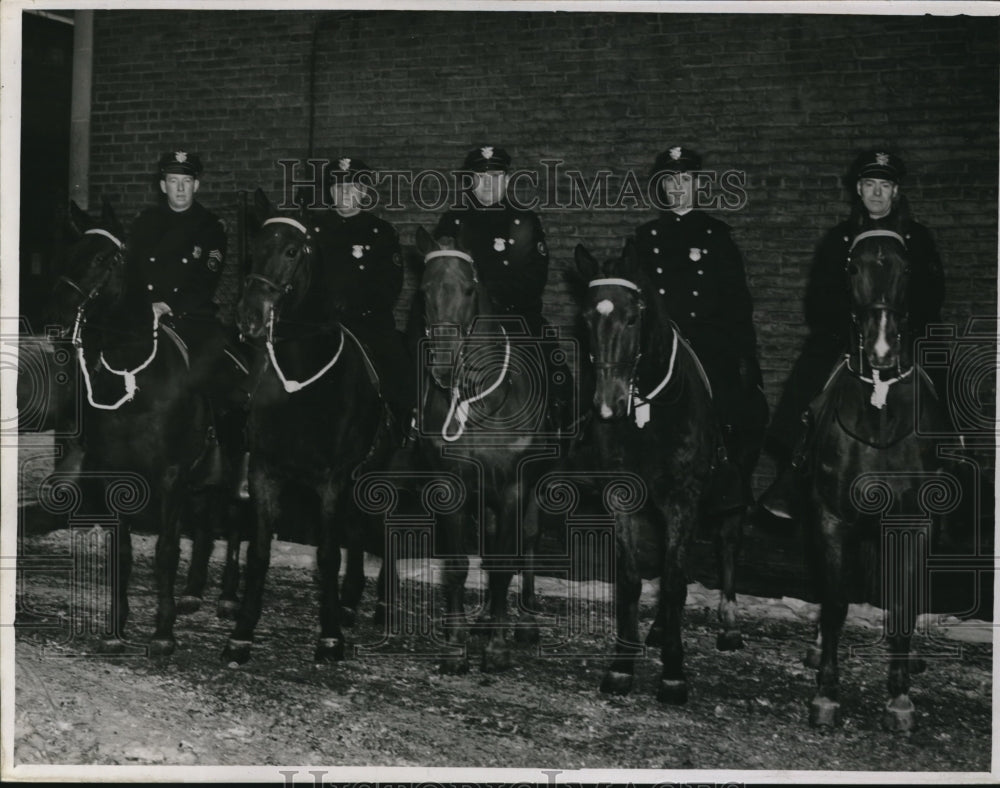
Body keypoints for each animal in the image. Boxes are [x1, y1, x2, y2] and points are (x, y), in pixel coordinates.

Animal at [225, 191, 396, 664]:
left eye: (290, 251)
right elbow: (259, 552)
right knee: (357, 532)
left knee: (384, 529)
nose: (250, 317)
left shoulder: (332, 480)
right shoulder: (263, 472)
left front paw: (330, 637)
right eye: (254, 249)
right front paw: (242, 633)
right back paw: (351, 600)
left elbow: (327, 555)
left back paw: (381, 607)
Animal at [572, 240, 744, 700]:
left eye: (632, 317)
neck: (647, 414)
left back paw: (728, 623)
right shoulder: (622, 498)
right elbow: (633, 578)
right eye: (587, 318)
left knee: (725, 544)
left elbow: (674, 582)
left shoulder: (683, 499)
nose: (607, 406)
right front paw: (622, 665)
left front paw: (673, 671)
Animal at [800, 228, 956, 732]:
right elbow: (834, 603)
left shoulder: (913, 524)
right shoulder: (832, 518)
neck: (880, 411)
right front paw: (826, 694)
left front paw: (900, 696)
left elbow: (904, 604)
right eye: (851, 267)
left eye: (908, 268)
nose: (882, 352)